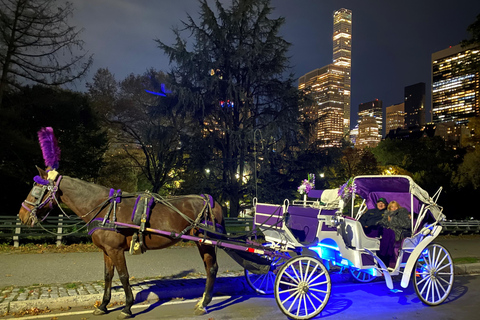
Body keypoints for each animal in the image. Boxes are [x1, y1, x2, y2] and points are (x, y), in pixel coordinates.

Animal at [19, 166, 226, 318]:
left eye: (36, 190)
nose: (21, 215)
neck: (104, 208)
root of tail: (211, 201)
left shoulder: (115, 249)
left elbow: (124, 276)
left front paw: (127, 307)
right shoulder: (106, 250)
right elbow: (108, 276)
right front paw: (103, 305)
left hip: (204, 242)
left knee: (212, 268)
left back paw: (204, 303)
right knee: (210, 268)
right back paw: (203, 301)